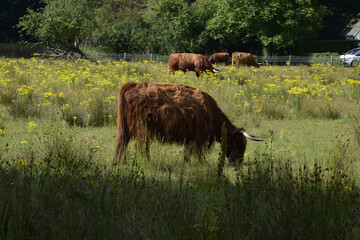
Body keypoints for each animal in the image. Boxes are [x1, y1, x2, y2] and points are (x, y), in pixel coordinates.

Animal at [113, 81, 262, 164]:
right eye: (240, 143)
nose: (239, 161)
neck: (212, 114)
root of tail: (133, 84)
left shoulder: (190, 138)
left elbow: (187, 152)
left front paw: (187, 163)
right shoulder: (200, 139)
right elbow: (198, 153)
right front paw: (202, 163)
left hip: (124, 127)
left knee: (122, 142)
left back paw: (118, 162)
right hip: (142, 129)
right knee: (142, 146)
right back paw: (146, 161)